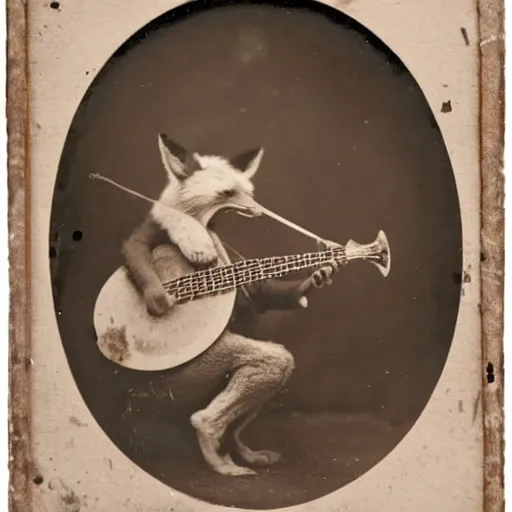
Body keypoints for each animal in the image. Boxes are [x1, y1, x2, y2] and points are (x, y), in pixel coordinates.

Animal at [121, 133, 340, 476]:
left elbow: (260, 289)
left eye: (248, 192)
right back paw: (216, 449)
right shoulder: (151, 233)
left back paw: (241, 452)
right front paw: (174, 280)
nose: (258, 210)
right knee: (268, 364)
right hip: (186, 374)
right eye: (226, 193)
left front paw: (319, 274)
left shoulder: (245, 272)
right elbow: (140, 241)